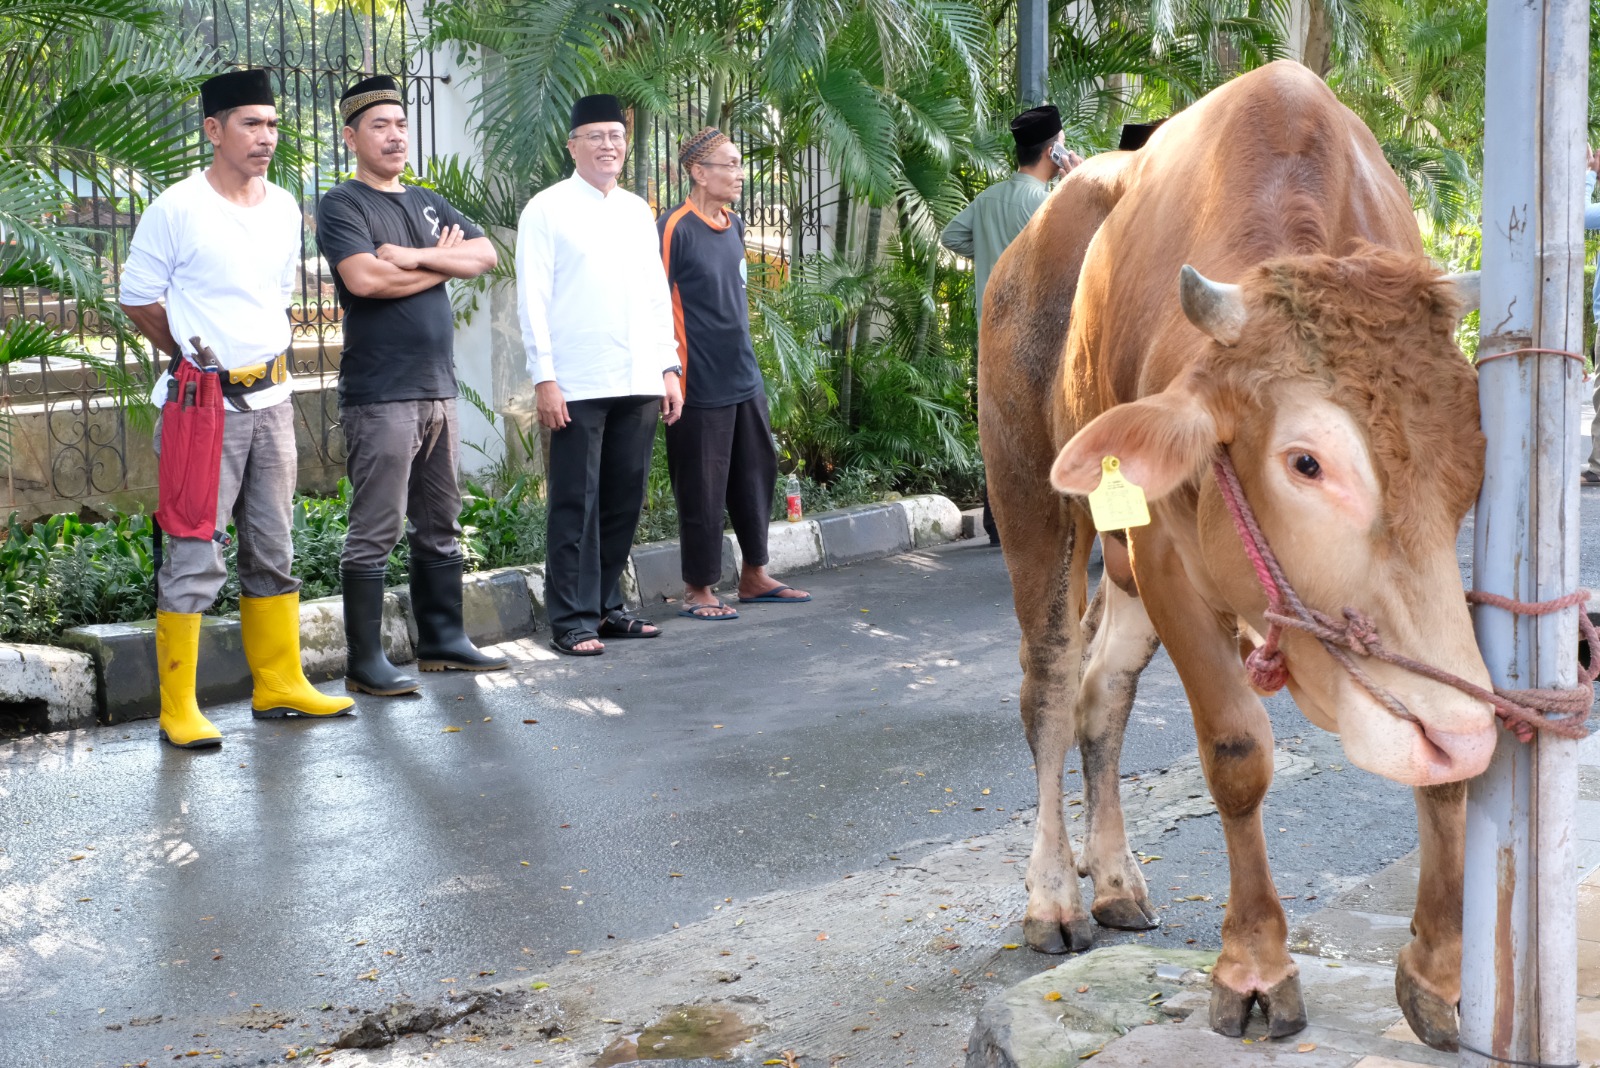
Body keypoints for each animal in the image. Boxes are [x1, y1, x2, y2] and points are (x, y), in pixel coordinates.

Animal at [978, 59, 1494, 1048]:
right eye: (1307, 462)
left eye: (1470, 462)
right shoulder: (1168, 562)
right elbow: (1236, 753)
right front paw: (1254, 969)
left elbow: (1447, 763)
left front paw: (1442, 975)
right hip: (1031, 496)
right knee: (1050, 690)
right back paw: (1054, 895)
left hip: (1118, 560)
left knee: (1103, 692)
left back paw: (1117, 880)